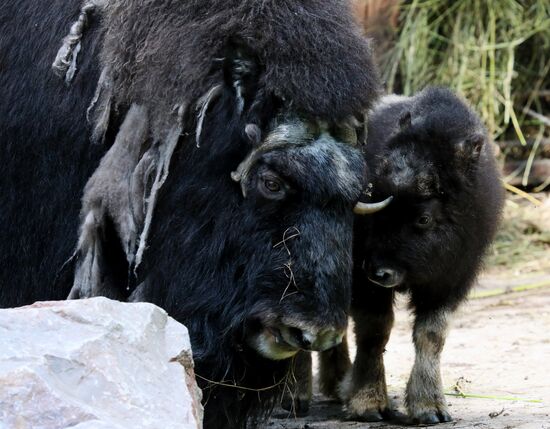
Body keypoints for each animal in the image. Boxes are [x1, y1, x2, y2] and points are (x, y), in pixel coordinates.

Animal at [320, 86, 504, 422]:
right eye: (378, 202)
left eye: (424, 218)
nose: (379, 272)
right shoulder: (363, 284)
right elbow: (374, 331)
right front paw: (368, 404)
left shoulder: (449, 282)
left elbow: (431, 335)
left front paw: (430, 407)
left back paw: (337, 384)